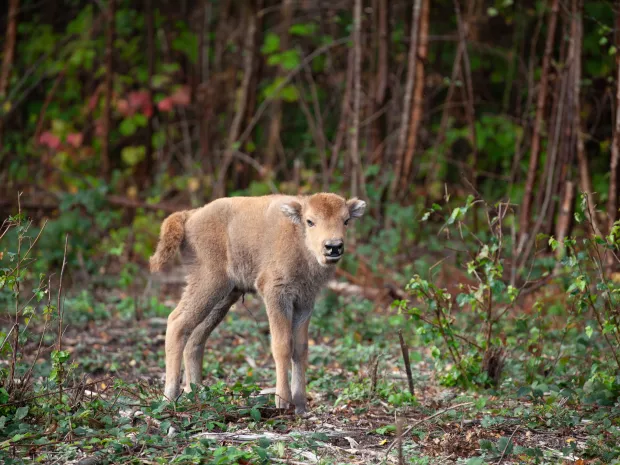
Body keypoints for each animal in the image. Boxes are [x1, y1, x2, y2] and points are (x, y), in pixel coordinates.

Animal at [148, 192, 366, 414]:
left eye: (346, 220)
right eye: (310, 221)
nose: (333, 246)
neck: (298, 237)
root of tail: (190, 215)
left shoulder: (305, 302)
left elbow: (301, 349)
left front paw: (301, 405)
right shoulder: (275, 294)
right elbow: (282, 345)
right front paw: (282, 401)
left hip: (225, 296)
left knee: (195, 337)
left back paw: (198, 394)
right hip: (208, 283)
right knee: (177, 322)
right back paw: (170, 397)